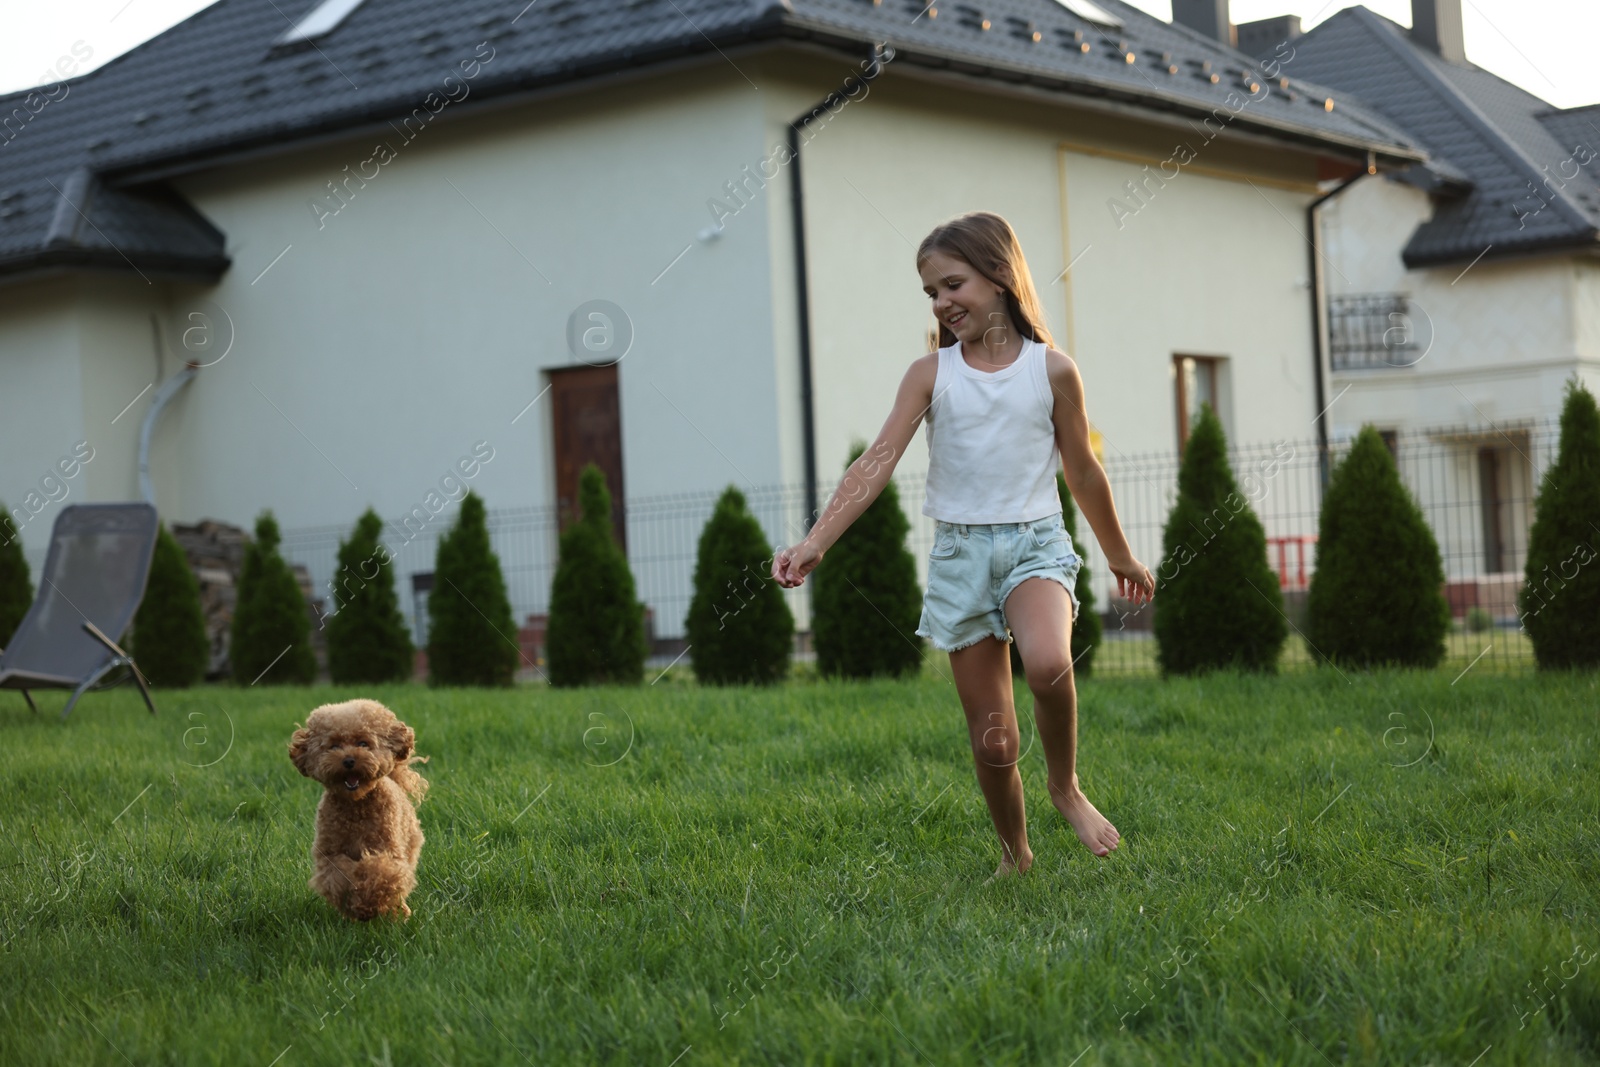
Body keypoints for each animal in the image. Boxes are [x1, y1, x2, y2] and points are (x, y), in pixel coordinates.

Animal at [286, 700, 425, 921]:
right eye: (334, 746)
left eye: (363, 743)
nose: (349, 760)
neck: (356, 805)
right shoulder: (330, 853)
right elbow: (339, 874)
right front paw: (357, 905)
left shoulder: (387, 851)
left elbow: (381, 873)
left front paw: (368, 905)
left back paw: (399, 913)